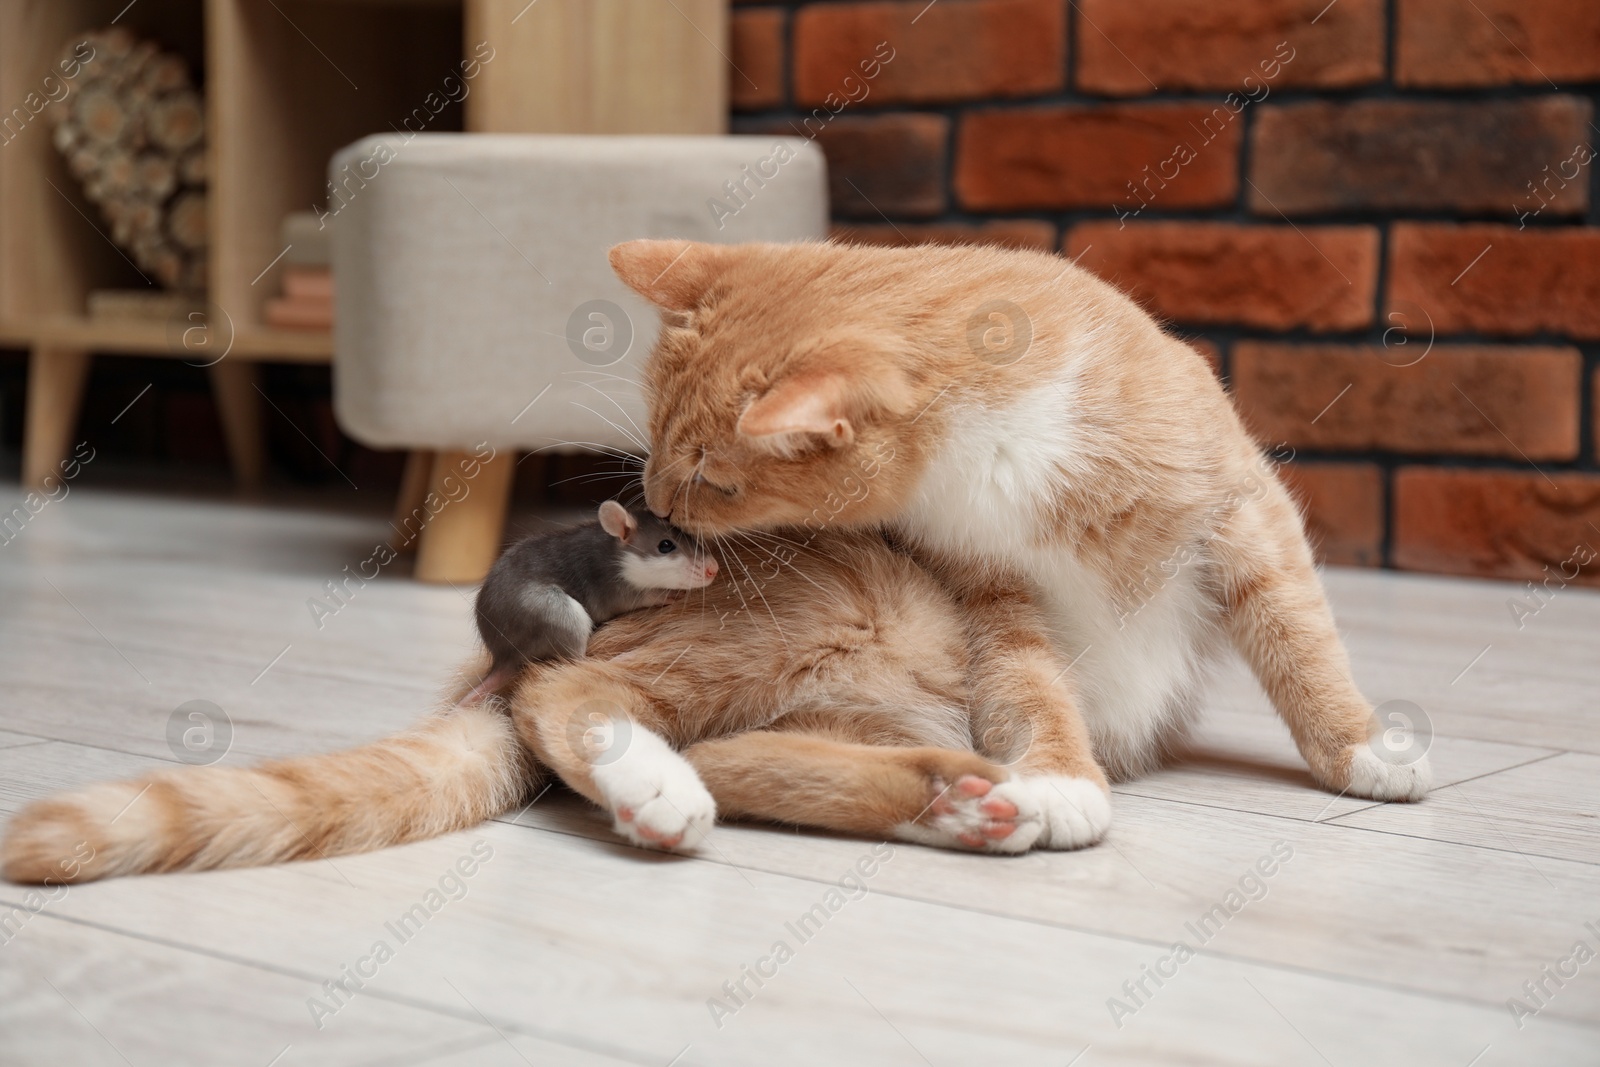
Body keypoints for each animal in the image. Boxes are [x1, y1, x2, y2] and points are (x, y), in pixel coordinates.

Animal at [0, 241, 1427, 883]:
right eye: (671, 470)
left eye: (717, 477)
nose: (657, 511)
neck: (1016, 450)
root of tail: (486, 646)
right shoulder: (984, 597)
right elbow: (1038, 690)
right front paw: (1068, 778)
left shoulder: (1243, 513)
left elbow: (1303, 644)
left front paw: (1363, 747)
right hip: (821, 618)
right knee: (575, 702)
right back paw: (668, 789)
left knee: (752, 760)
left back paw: (956, 800)